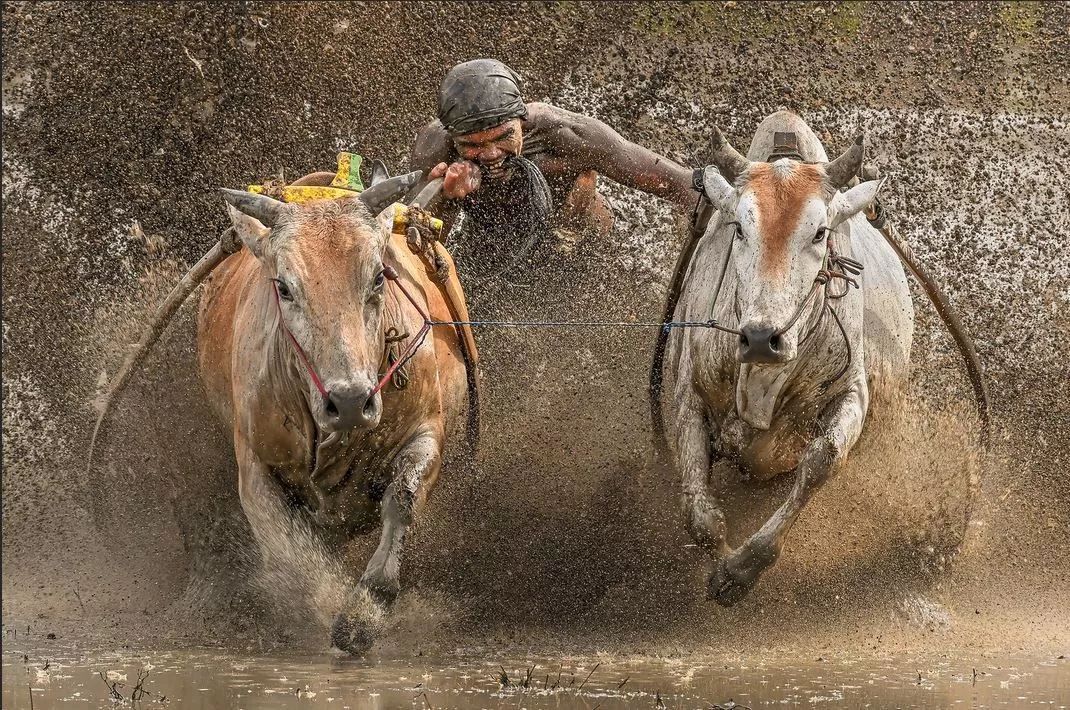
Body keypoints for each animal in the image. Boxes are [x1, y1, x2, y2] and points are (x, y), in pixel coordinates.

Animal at [667, 113, 911, 607]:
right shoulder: (689, 394)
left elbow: (821, 460)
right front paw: (724, 562)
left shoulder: (852, 393)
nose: (763, 339)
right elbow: (700, 518)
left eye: (819, 232)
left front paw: (742, 568)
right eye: (740, 229)